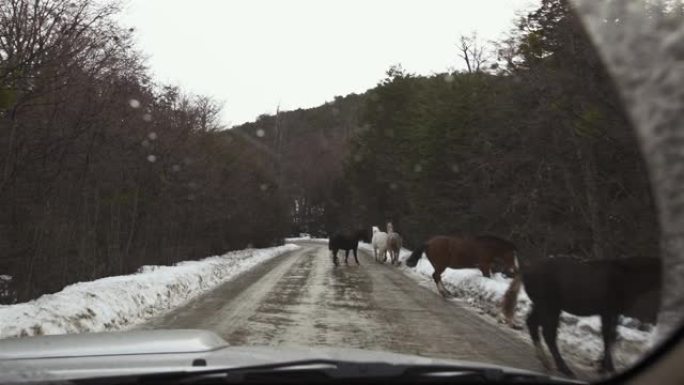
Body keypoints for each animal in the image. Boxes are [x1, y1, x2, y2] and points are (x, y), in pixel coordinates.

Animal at [504, 255, 660, 376]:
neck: (626, 277)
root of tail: (526, 270)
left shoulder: (611, 313)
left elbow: (611, 335)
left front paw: (604, 366)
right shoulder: (609, 312)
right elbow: (608, 336)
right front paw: (606, 367)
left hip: (543, 306)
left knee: (532, 324)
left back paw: (546, 363)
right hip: (550, 307)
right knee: (548, 334)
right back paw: (564, 369)